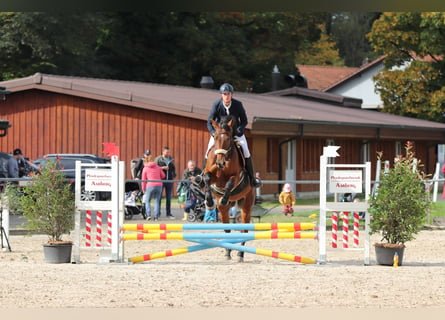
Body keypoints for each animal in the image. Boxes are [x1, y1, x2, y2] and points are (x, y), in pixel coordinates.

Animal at [200, 115, 253, 262]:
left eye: (228, 138)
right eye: (215, 137)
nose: (221, 163)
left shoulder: (235, 177)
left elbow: (229, 183)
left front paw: (223, 199)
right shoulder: (212, 177)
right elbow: (207, 178)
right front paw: (209, 202)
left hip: (246, 204)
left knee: (244, 230)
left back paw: (240, 254)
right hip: (224, 211)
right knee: (227, 229)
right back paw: (228, 252)